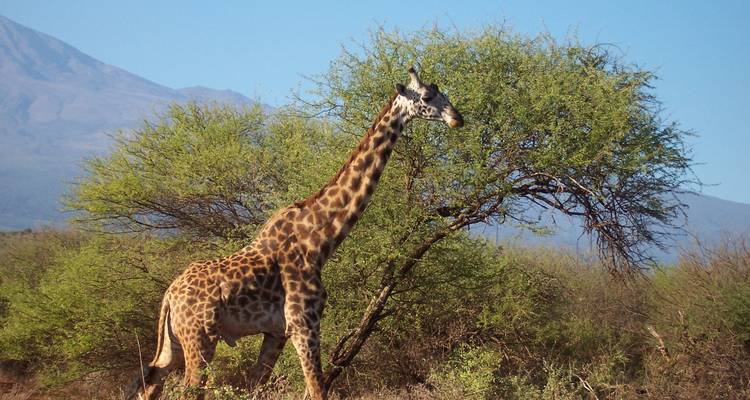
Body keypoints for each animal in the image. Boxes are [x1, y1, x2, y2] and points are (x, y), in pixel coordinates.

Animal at [127, 67, 463, 400]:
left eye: (441, 90)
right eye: (427, 96)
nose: (457, 118)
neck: (320, 240)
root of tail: (169, 295)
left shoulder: (277, 332)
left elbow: (257, 387)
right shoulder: (304, 323)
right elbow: (317, 389)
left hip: (174, 342)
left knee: (151, 382)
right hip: (200, 338)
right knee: (189, 389)